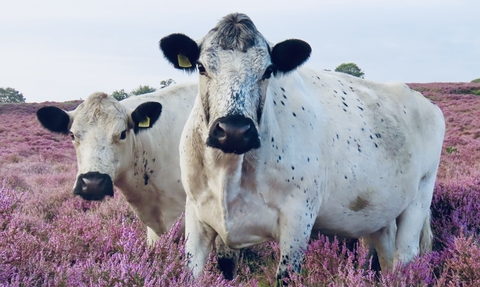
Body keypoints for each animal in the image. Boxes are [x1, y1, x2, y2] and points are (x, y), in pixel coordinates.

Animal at [159, 12, 444, 282]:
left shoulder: (297, 219)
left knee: (406, 257)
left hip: (418, 200)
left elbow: (286, 275)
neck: (228, 172)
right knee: (386, 256)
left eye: (268, 70)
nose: (234, 131)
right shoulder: (197, 218)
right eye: (201, 67)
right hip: (381, 216)